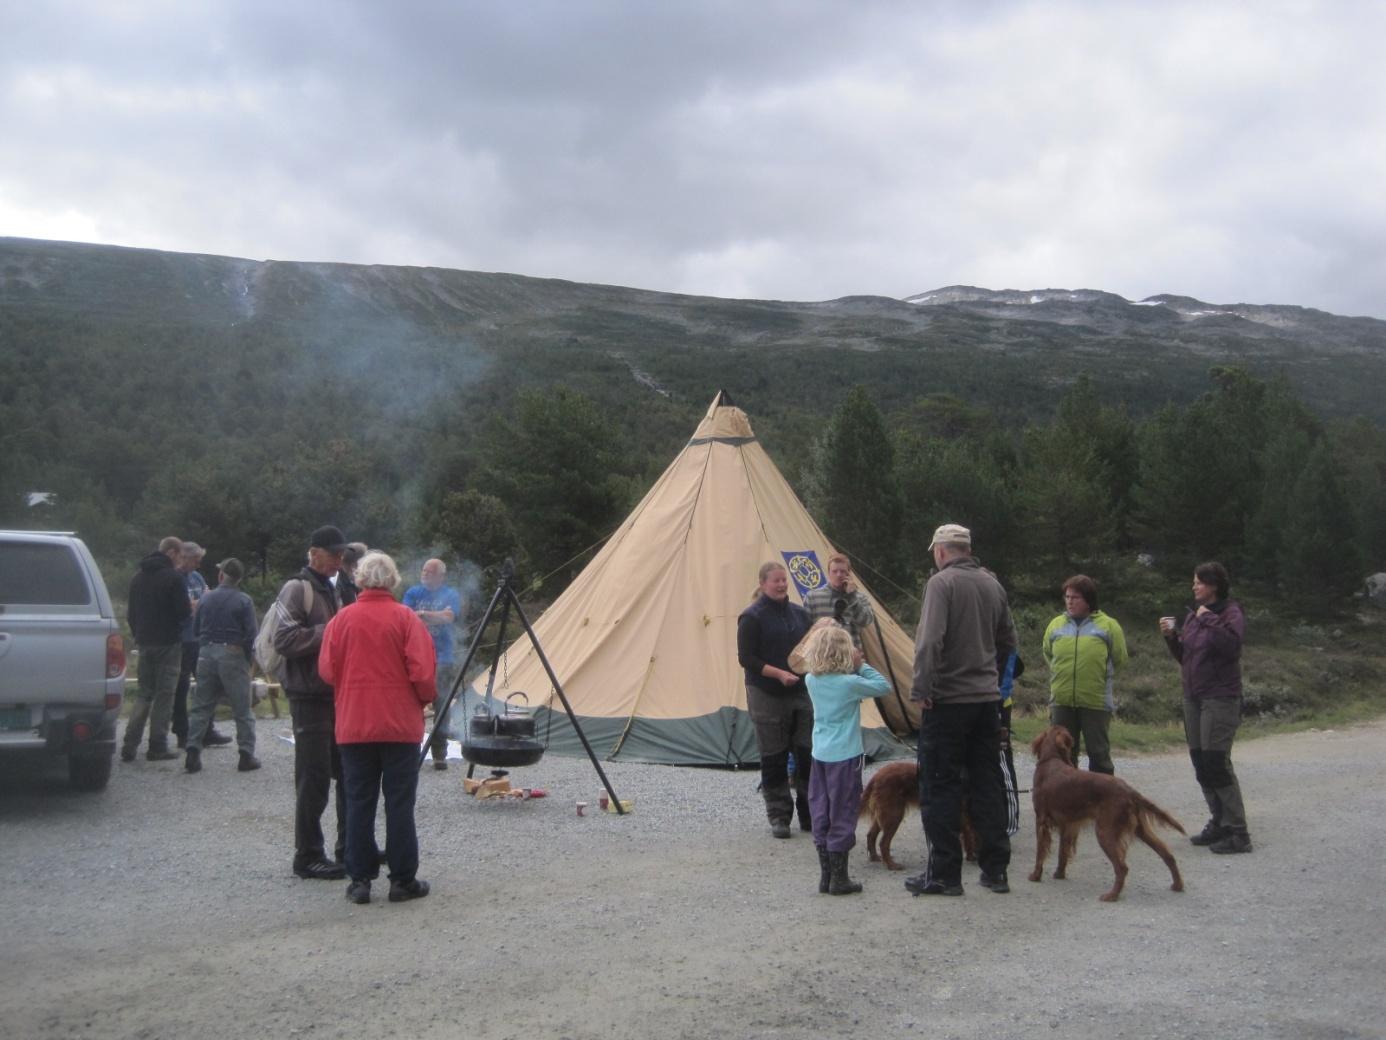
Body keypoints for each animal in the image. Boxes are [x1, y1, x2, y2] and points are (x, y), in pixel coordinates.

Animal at [1025, 726, 1186, 904]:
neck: (1050, 759)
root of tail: (1129, 790)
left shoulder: (1041, 821)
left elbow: (1040, 853)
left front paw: (1035, 876)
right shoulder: (1067, 824)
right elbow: (1063, 852)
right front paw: (1059, 874)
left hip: (1104, 831)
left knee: (1122, 867)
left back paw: (1111, 895)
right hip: (1140, 829)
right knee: (1167, 854)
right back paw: (1177, 885)